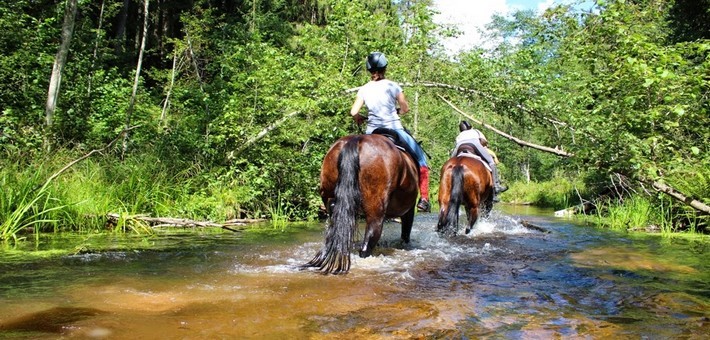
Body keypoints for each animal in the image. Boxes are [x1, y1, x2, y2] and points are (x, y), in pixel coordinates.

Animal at [304, 133, 420, 274]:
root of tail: (356, 139)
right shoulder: (409, 210)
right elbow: (406, 233)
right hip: (376, 211)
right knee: (368, 241)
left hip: (330, 196)